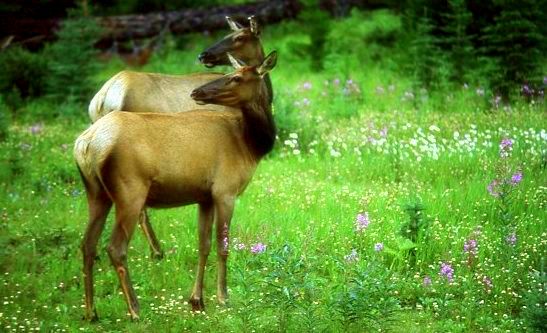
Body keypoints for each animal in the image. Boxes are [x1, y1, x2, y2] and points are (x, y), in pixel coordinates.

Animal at [75, 50, 276, 320]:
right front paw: (223, 297)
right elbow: (223, 246)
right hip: (129, 192)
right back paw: (135, 309)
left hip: (96, 193)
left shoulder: (205, 196)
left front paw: (197, 300)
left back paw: (91, 312)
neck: (249, 145)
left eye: (235, 77)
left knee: (87, 245)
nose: (197, 92)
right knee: (115, 247)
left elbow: (203, 245)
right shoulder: (226, 191)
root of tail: (86, 144)